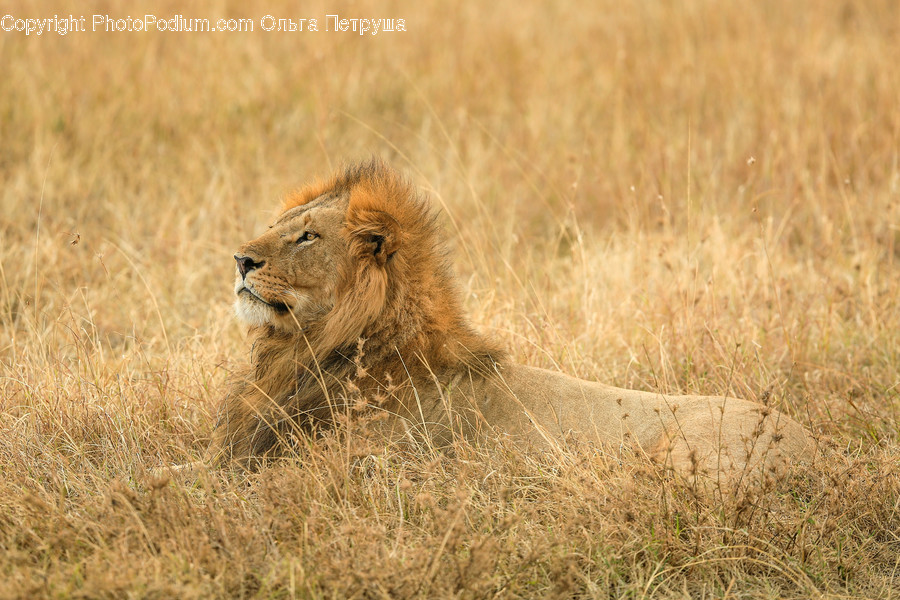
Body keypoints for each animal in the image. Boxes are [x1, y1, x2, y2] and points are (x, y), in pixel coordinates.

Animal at [211, 159, 815, 482]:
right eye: (278, 225)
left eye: (308, 236)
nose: (239, 259)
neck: (308, 350)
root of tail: (819, 455)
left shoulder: (358, 466)